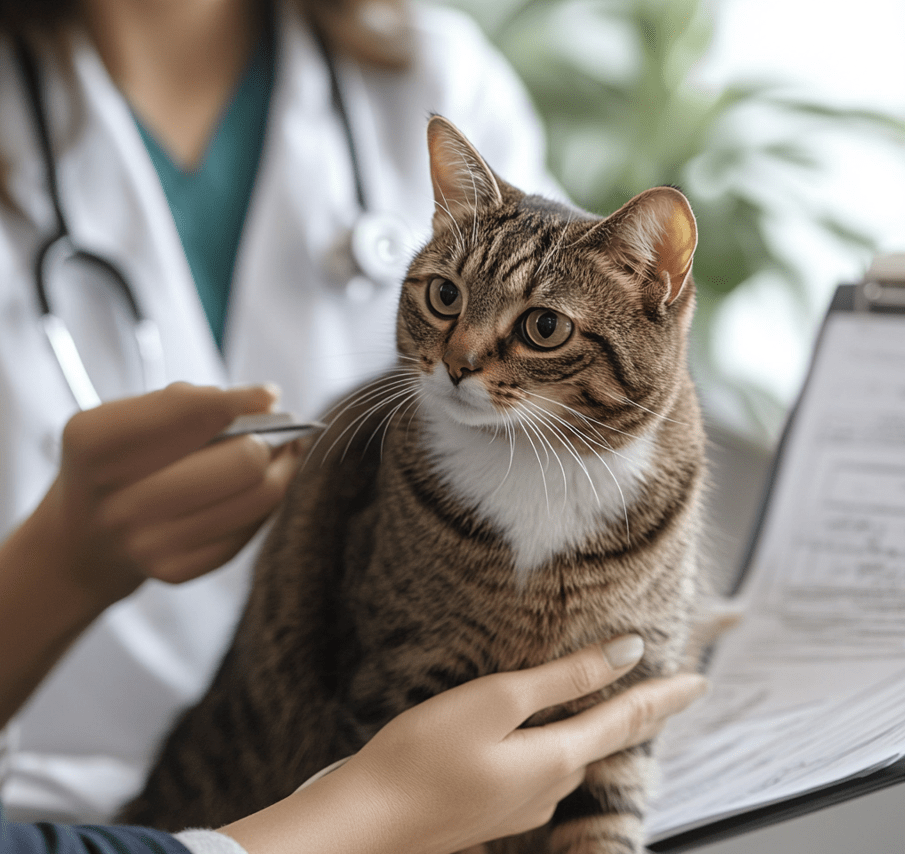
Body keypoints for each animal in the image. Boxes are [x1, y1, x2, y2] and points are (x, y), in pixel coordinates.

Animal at [123, 115, 708, 854]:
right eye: (444, 295)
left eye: (544, 326)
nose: (456, 364)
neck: (533, 463)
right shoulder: (403, 681)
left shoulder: (625, 705)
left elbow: (603, 828)